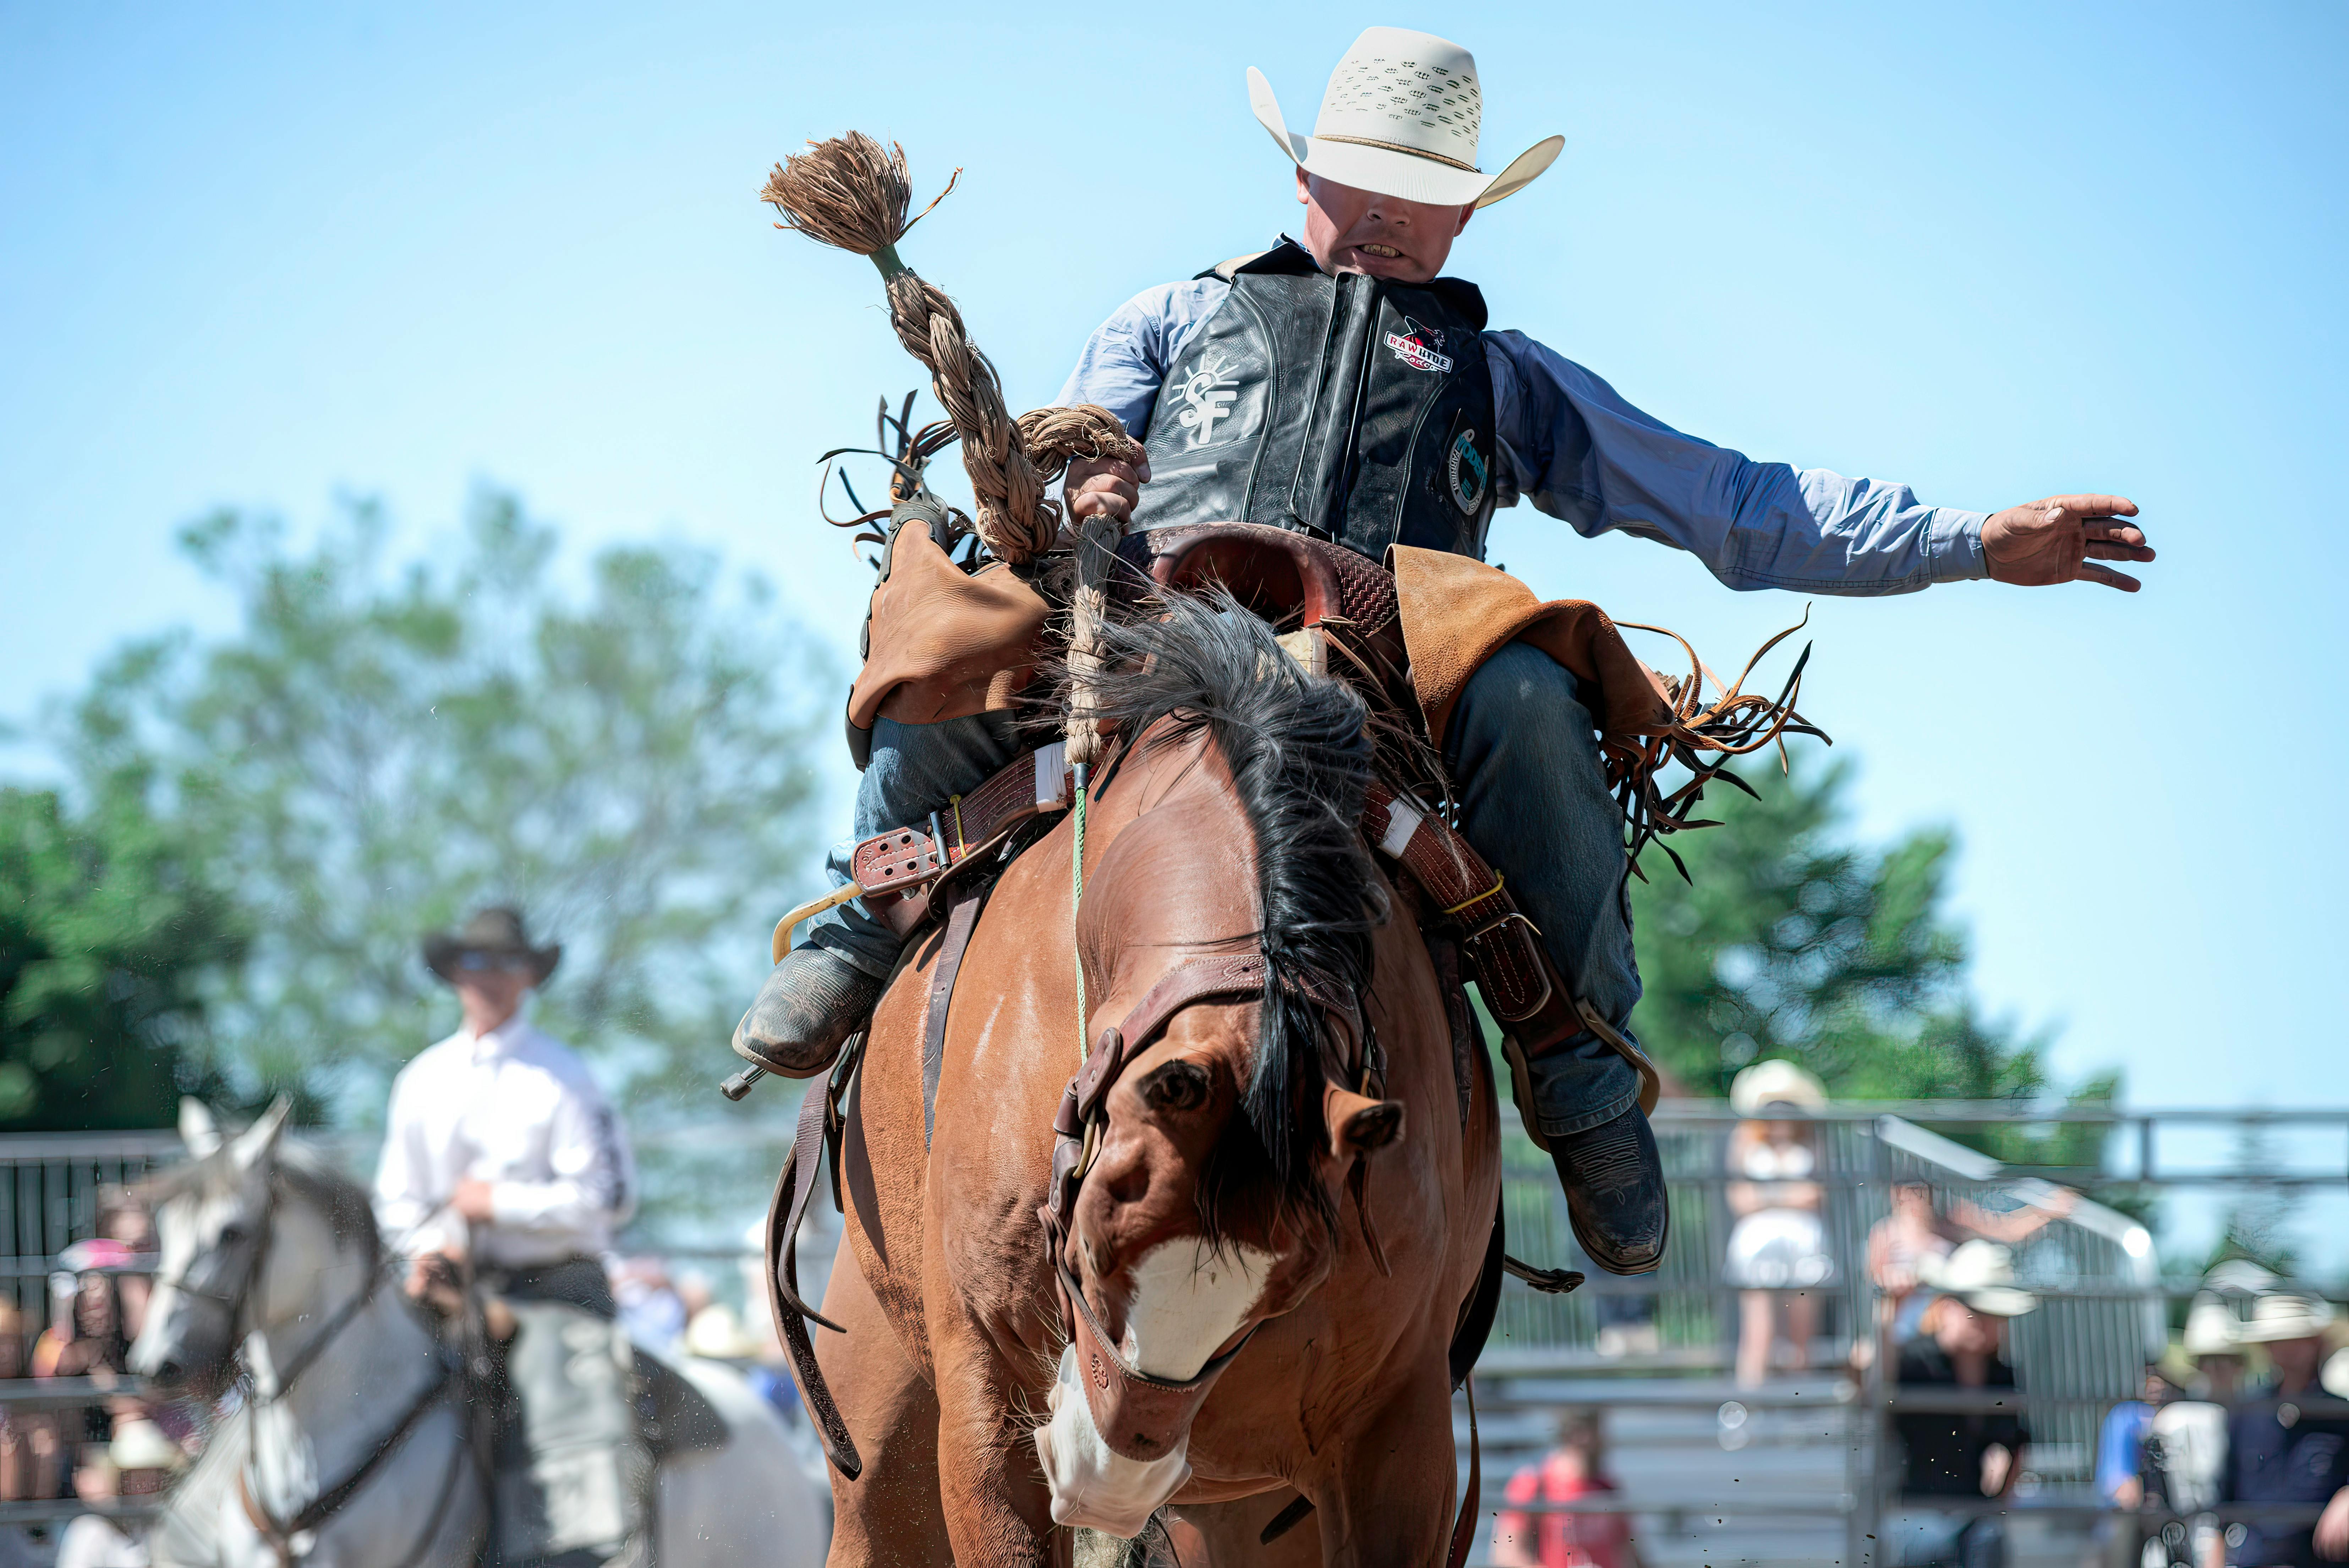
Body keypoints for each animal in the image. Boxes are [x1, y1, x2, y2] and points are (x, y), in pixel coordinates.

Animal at [817, 594, 1494, 1558]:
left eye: (1289, 1283)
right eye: (1091, 1243)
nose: (1108, 1482)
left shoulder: (1401, 1434)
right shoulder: (983, 1399)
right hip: (879, 1435)